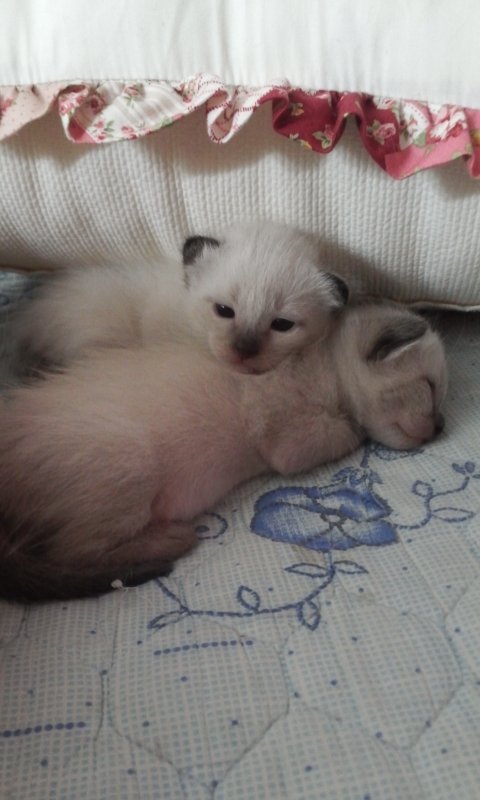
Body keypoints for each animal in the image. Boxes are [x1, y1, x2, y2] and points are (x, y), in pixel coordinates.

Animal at [0, 301, 447, 603]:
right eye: (430, 387)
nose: (441, 427)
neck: (321, 364)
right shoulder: (290, 443)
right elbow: (350, 432)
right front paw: (356, 428)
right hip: (130, 465)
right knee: (73, 551)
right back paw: (172, 539)